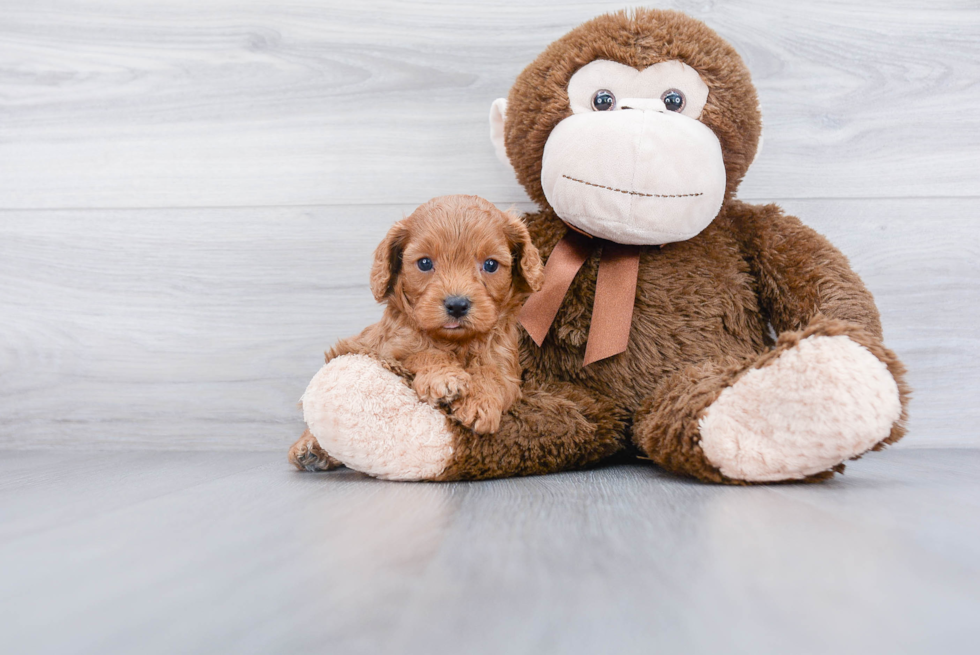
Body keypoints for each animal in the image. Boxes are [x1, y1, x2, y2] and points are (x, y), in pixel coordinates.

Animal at [288, 195, 548, 472]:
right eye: (425, 263)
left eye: (490, 265)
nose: (457, 305)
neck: (456, 342)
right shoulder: (389, 349)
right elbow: (423, 353)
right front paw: (445, 378)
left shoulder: (505, 365)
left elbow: (492, 375)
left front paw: (480, 402)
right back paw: (310, 449)